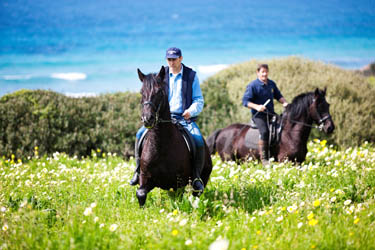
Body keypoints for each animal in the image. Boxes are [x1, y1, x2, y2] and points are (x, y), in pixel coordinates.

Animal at [136, 66, 213, 207]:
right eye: (141, 92)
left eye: (159, 92)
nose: (147, 119)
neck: (161, 146)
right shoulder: (145, 178)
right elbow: (141, 193)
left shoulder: (179, 183)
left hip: (202, 178)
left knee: (197, 192)